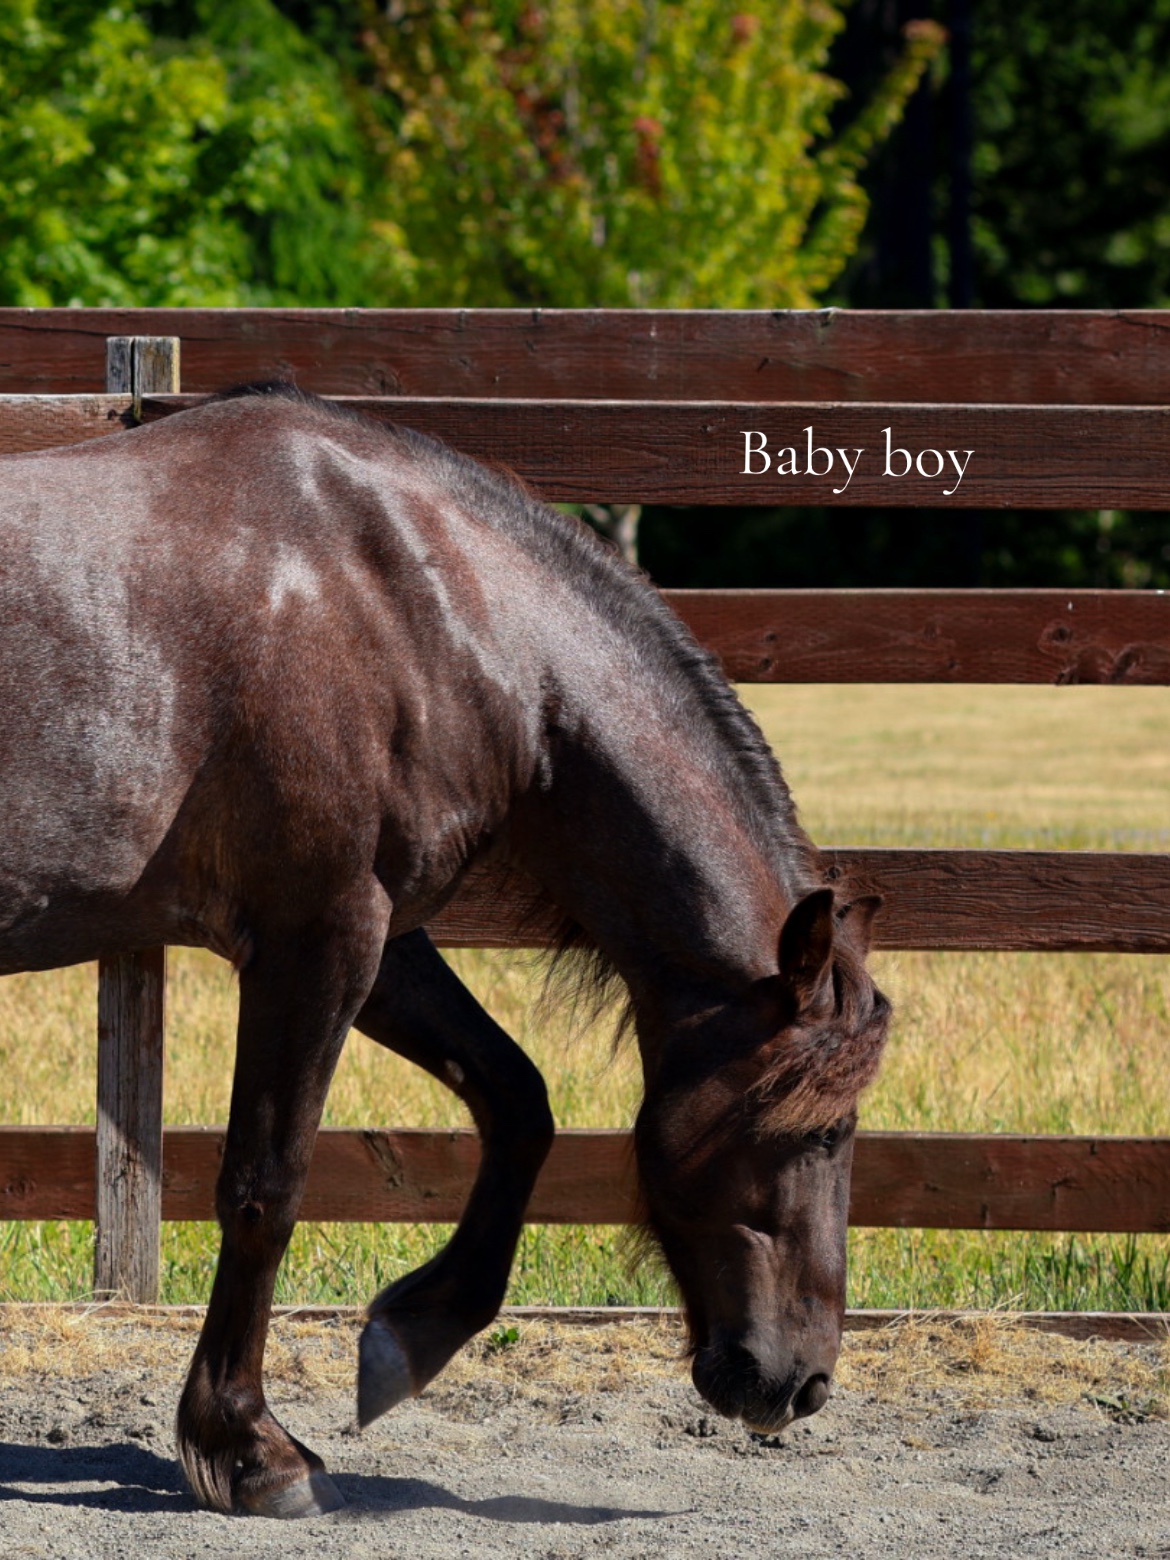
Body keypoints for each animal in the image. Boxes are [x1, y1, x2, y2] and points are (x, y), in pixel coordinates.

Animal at [0, 384, 891, 1517]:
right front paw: (247, 1449)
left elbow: (519, 1102)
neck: (413, 601)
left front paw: (410, 1337)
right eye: (822, 1133)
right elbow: (265, 1186)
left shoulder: (381, 941)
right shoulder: (318, 937)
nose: (801, 1384)